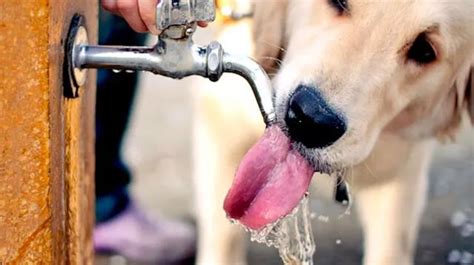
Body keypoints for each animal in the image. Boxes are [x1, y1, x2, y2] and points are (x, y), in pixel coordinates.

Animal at [192, 1, 470, 262]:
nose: (310, 120)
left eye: (425, 50)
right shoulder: (224, 124)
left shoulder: (400, 173)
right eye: (338, 2)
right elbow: (223, 239)